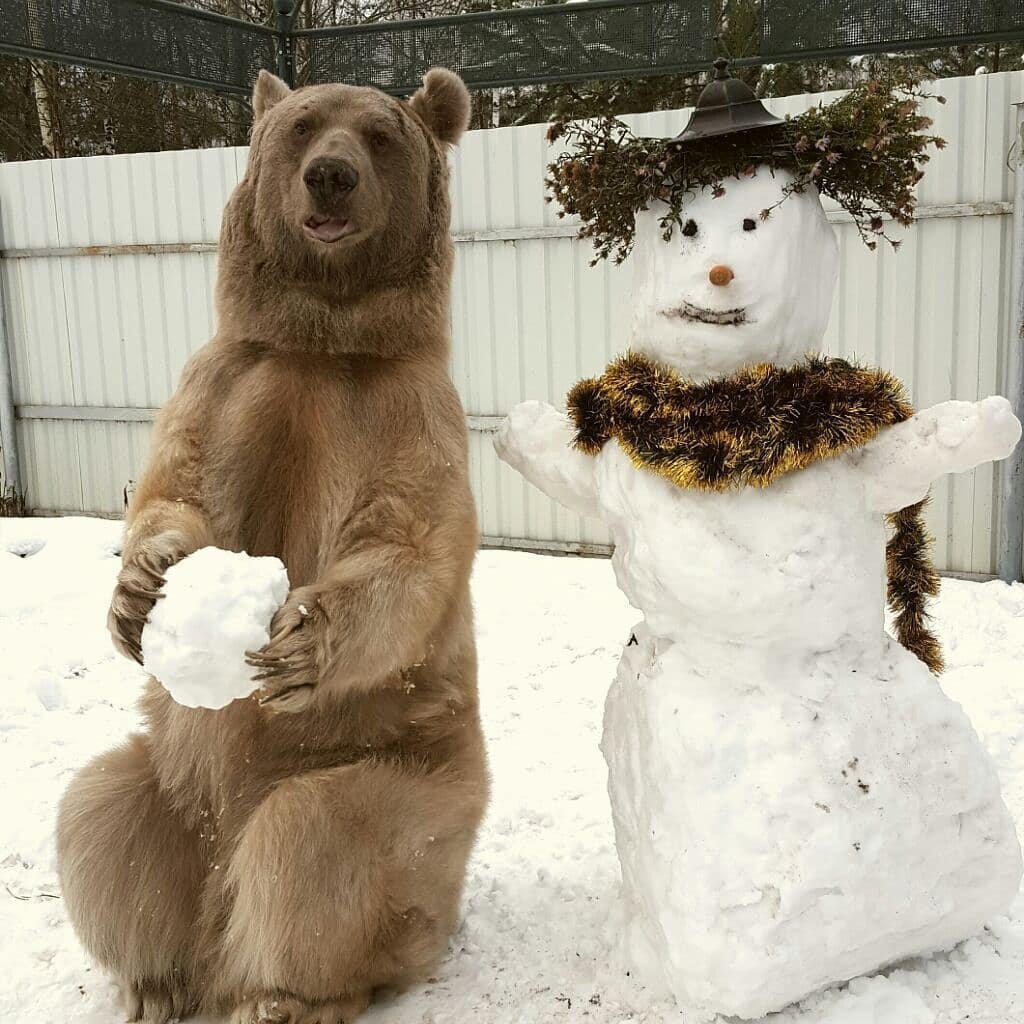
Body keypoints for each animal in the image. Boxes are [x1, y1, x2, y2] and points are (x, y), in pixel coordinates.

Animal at [54, 66, 489, 1024]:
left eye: (381, 134)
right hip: (168, 784)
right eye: (301, 125)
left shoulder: (407, 412)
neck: (321, 341)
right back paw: (157, 982)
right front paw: (139, 593)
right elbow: (172, 485)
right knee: (98, 818)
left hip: (406, 783)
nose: (330, 176)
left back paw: (280, 995)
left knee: (314, 846)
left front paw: (297, 638)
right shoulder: (227, 380)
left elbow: (407, 541)